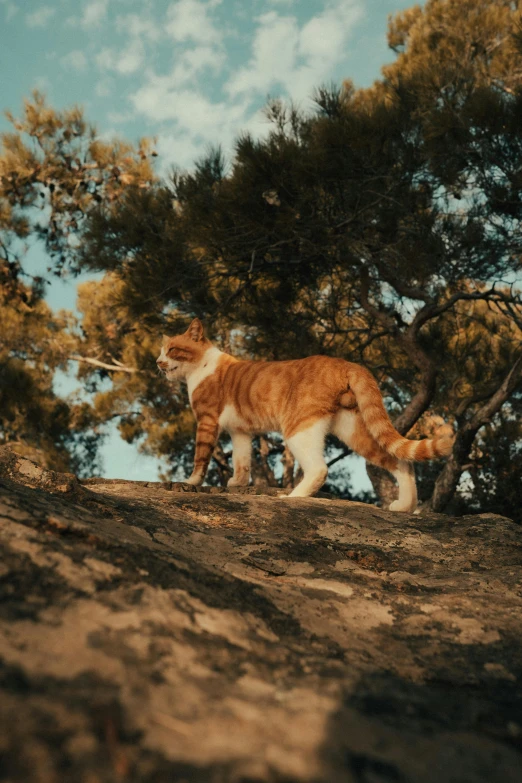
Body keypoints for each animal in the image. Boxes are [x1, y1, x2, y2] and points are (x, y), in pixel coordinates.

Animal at [155, 318, 450, 508]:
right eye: (160, 352)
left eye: (172, 350)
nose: (157, 362)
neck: (201, 367)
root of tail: (345, 362)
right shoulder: (241, 432)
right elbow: (242, 460)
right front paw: (237, 483)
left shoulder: (206, 421)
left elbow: (200, 457)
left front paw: (190, 481)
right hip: (355, 431)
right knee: (401, 462)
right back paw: (405, 507)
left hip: (298, 430)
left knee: (319, 468)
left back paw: (292, 497)